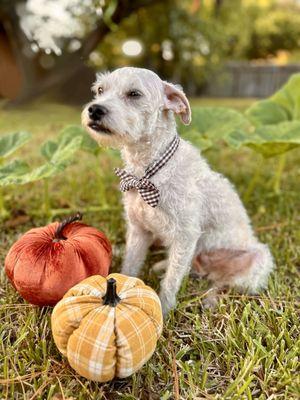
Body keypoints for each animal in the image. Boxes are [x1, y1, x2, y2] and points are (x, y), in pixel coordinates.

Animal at [81, 66, 274, 316]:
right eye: (100, 90)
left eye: (134, 94)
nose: (95, 109)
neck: (149, 173)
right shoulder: (139, 231)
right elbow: (131, 265)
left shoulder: (186, 235)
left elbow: (172, 281)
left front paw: (163, 312)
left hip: (255, 262)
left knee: (219, 283)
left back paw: (210, 300)